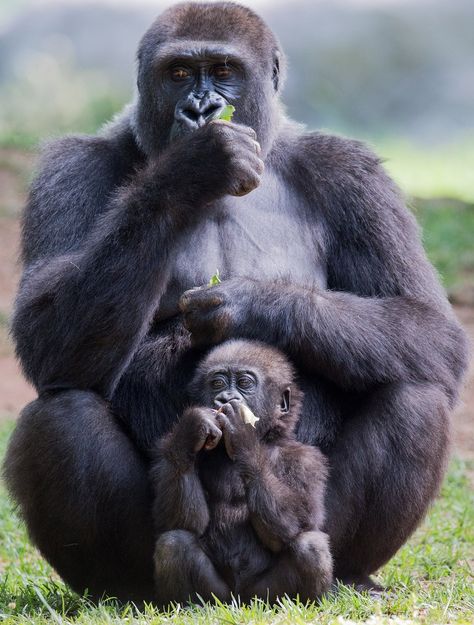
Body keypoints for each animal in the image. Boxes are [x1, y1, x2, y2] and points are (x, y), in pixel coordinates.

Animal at [150, 342, 332, 604]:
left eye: (245, 383)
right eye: (217, 383)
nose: (226, 398)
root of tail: (239, 601)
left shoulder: (307, 460)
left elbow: (300, 521)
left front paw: (243, 434)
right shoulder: (165, 450)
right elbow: (178, 520)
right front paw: (193, 426)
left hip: (261, 596)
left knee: (311, 547)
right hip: (218, 597)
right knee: (174, 542)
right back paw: (187, 606)